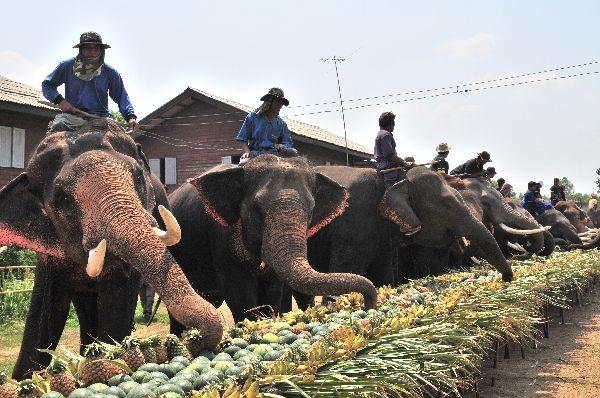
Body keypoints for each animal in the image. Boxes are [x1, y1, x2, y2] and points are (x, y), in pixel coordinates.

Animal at [0, 122, 224, 380]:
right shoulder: (48, 253)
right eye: (61, 198)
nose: (193, 336)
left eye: (137, 175)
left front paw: (107, 358)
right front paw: (24, 378)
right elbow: (43, 309)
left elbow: (117, 299)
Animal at [166, 154, 378, 332]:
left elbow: (273, 288)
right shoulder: (220, 237)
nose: (369, 305)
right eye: (257, 207)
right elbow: (239, 293)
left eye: (311, 210)